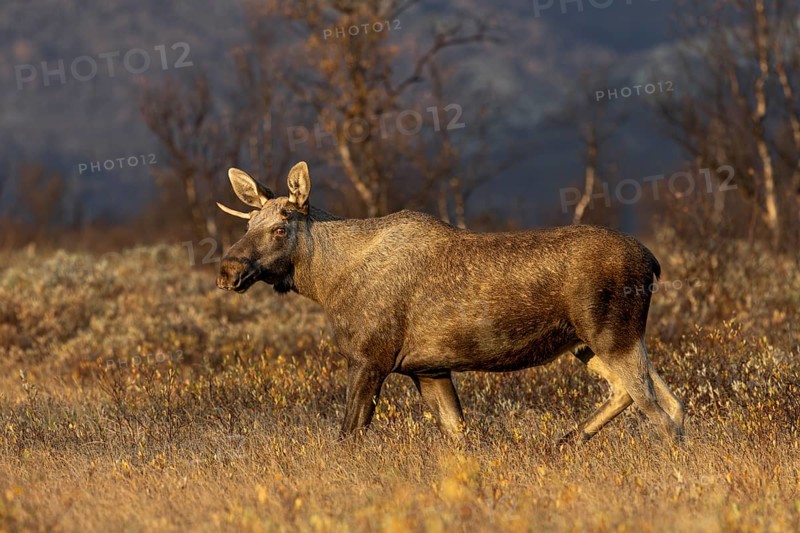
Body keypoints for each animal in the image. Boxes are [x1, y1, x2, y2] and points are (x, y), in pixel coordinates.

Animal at [216, 162, 685, 445]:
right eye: (248, 224)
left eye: (280, 228)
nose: (227, 269)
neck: (327, 283)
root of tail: (652, 261)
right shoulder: (428, 368)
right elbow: (459, 436)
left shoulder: (370, 358)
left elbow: (349, 436)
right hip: (589, 343)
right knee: (661, 400)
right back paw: (565, 441)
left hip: (612, 335)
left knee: (659, 411)